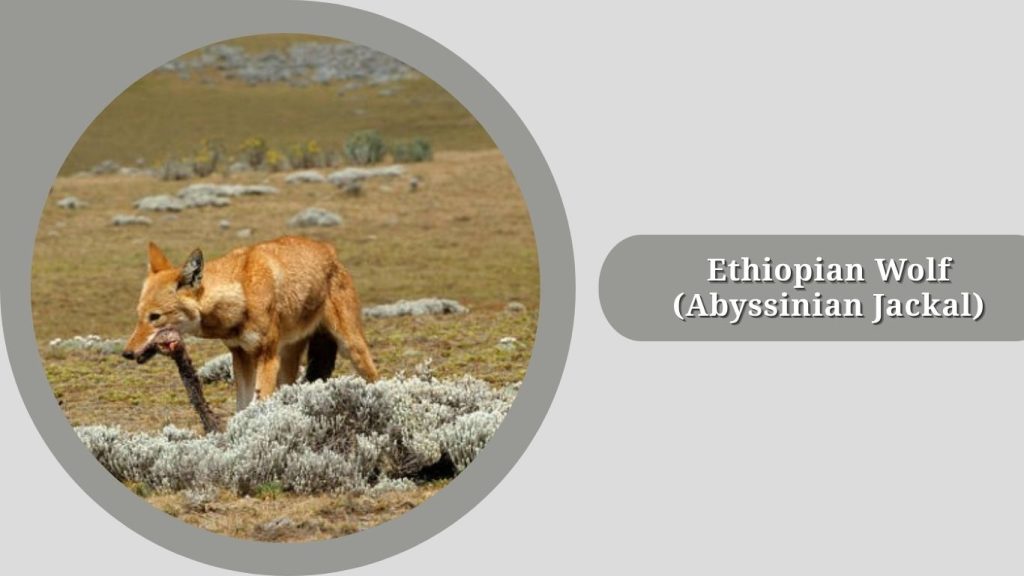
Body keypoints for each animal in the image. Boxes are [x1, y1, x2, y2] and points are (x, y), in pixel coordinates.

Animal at [121, 236, 379, 409]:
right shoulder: (240, 356)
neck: (242, 292)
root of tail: (329, 249)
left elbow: (257, 405)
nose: (126, 353)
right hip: (288, 358)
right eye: (139, 316)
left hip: (351, 349)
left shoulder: (267, 358)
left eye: (155, 317)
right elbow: (242, 408)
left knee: (377, 379)